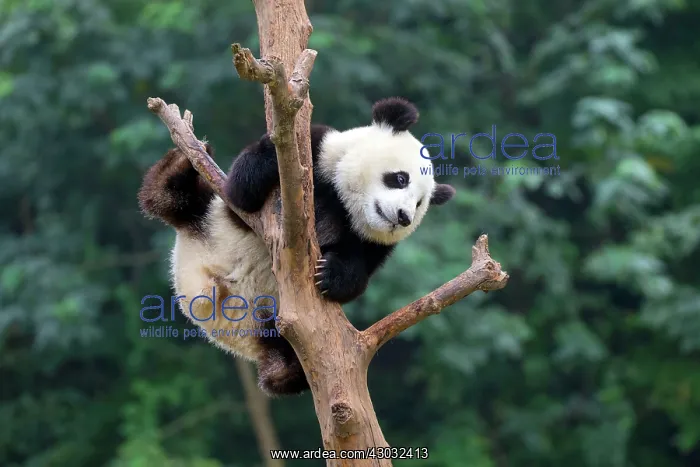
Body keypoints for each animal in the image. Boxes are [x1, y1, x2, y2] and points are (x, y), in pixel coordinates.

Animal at [138, 97, 456, 396]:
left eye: (420, 203)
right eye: (400, 178)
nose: (403, 217)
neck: (344, 203)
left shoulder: (372, 243)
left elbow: (357, 274)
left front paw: (332, 275)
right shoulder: (319, 157)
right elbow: (241, 192)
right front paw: (273, 149)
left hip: (271, 322)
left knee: (284, 363)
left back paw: (281, 373)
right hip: (206, 220)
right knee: (170, 199)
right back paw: (180, 165)